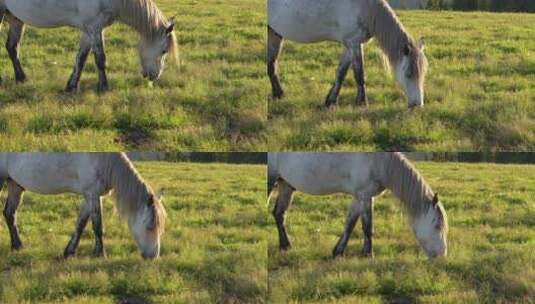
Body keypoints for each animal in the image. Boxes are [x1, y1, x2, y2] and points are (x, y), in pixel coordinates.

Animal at [0, 0, 180, 91]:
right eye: (164, 50)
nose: (154, 77)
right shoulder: (94, 27)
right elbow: (100, 59)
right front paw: (104, 87)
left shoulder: (88, 30)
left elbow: (81, 58)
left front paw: (72, 85)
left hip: (15, 18)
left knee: (12, 47)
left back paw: (21, 78)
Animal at [0, 153, 166, 260]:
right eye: (150, 226)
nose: (153, 257)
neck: (104, 160)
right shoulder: (93, 194)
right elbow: (97, 226)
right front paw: (100, 254)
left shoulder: (89, 196)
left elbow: (81, 224)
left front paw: (69, 252)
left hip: (14, 184)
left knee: (10, 214)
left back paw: (17, 246)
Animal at [268, 152, 448, 258]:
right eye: (437, 226)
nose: (442, 255)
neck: (379, 162)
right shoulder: (365, 196)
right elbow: (368, 227)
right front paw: (368, 254)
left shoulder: (359, 197)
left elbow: (350, 224)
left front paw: (338, 252)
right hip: (272, 181)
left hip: (286, 185)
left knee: (279, 214)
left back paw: (285, 246)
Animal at [270, 0, 430, 108]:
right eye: (408, 74)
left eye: (423, 74)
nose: (417, 105)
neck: (365, 8)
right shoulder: (354, 44)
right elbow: (359, 74)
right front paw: (362, 102)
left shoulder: (349, 45)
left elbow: (341, 72)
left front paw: (331, 101)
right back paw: (279, 94)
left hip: (274, 32)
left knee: (272, 63)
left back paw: (278, 94)